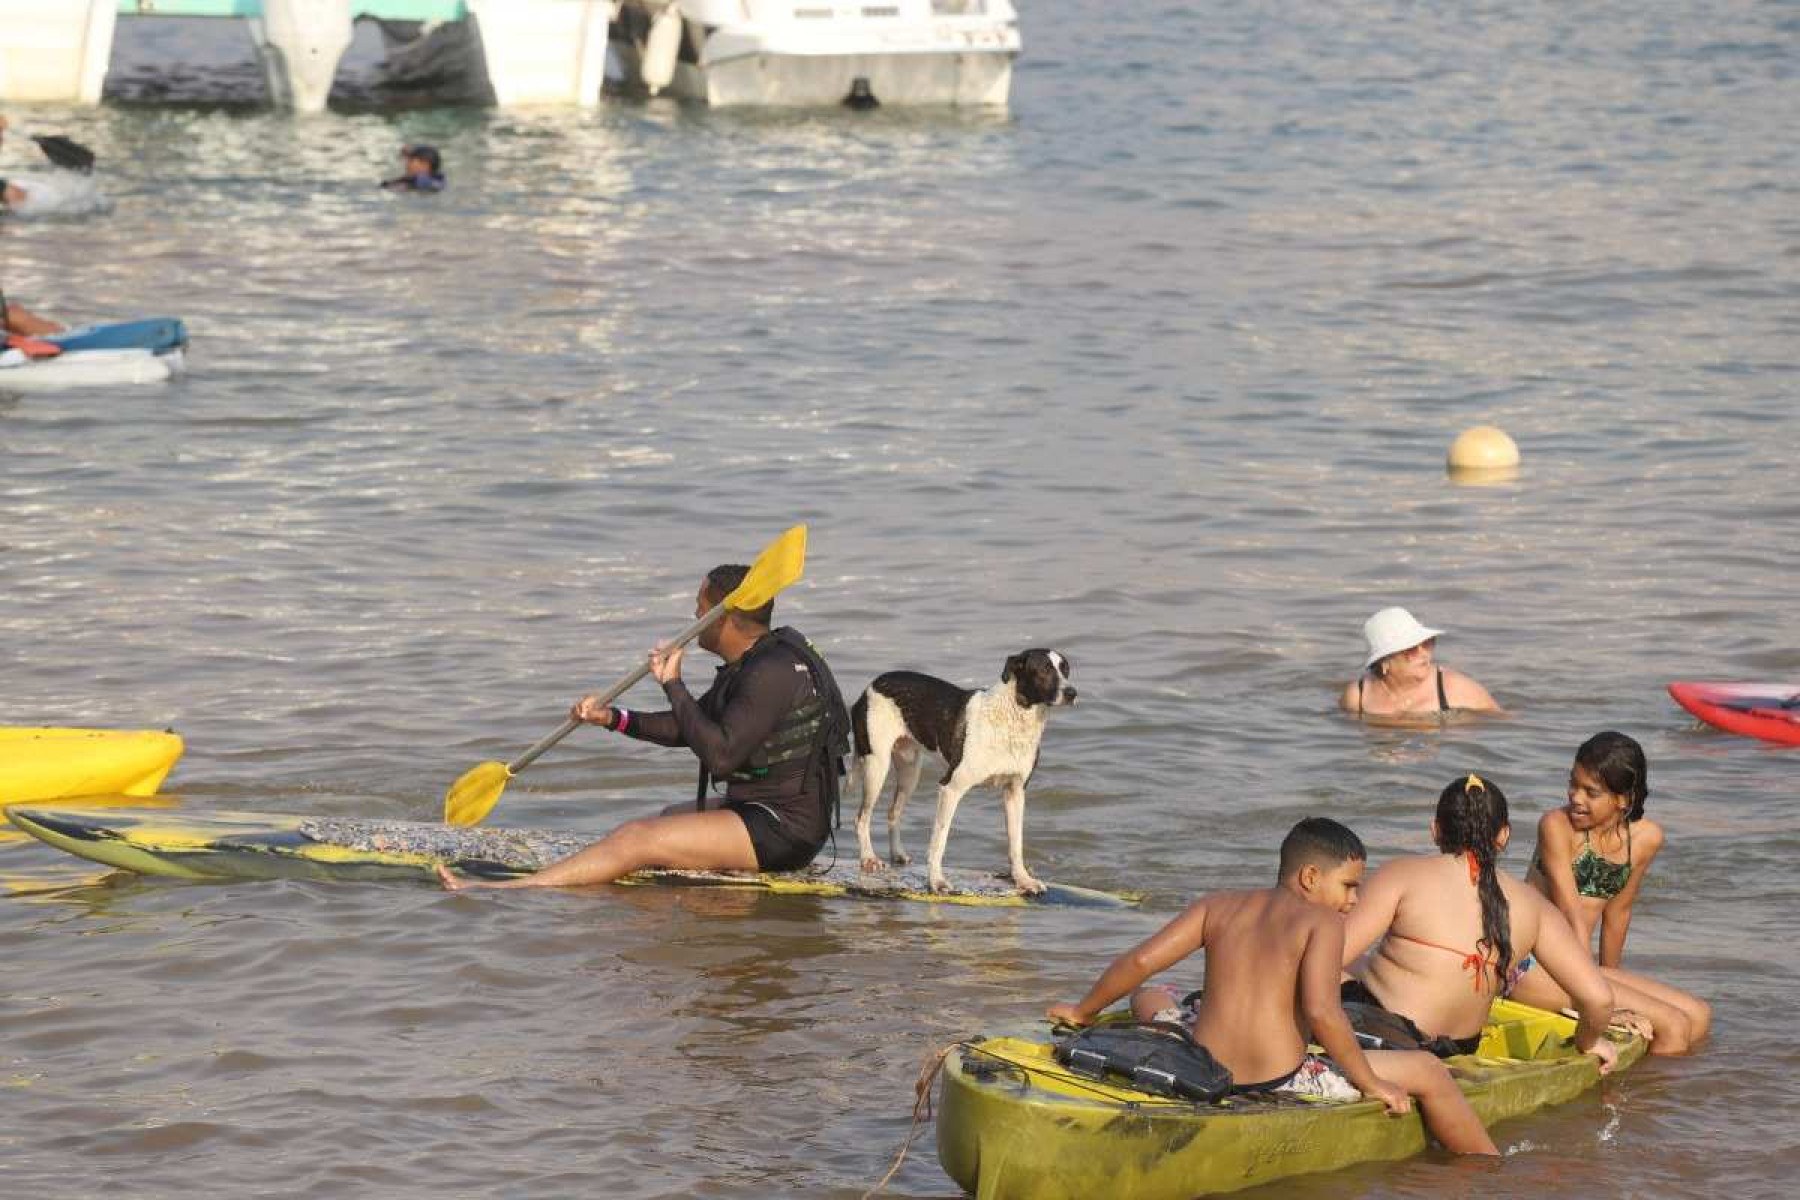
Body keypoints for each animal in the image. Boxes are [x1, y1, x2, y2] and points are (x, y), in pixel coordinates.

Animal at [849, 647, 1072, 892]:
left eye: (1066, 670)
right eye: (1044, 670)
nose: (1072, 693)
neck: (1012, 717)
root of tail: (871, 685)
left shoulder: (1015, 792)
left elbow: (1016, 844)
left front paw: (1023, 880)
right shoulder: (950, 788)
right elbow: (939, 840)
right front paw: (936, 881)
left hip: (910, 771)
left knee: (893, 812)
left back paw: (897, 854)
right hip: (876, 767)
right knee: (862, 817)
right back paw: (868, 858)